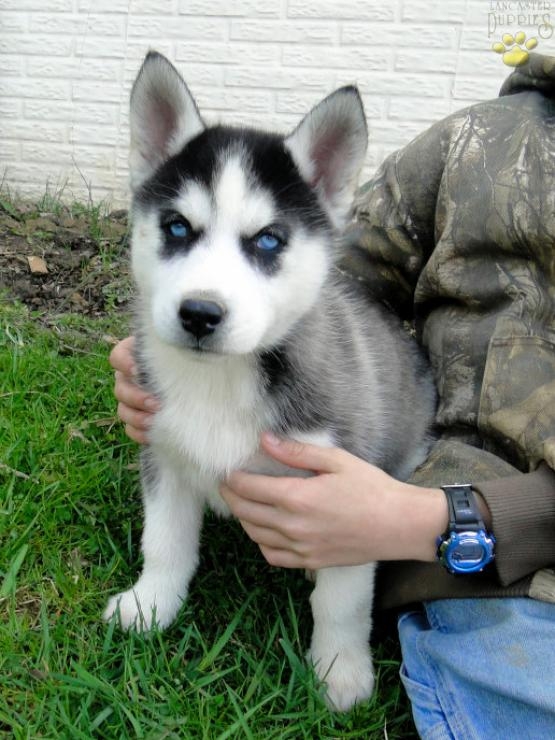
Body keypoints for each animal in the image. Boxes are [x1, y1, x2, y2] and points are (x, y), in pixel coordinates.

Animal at [102, 50, 436, 712]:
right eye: (176, 228)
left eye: (268, 240)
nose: (200, 313)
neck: (221, 380)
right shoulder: (163, 453)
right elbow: (165, 542)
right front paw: (150, 606)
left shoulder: (345, 495)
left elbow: (341, 599)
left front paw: (340, 672)